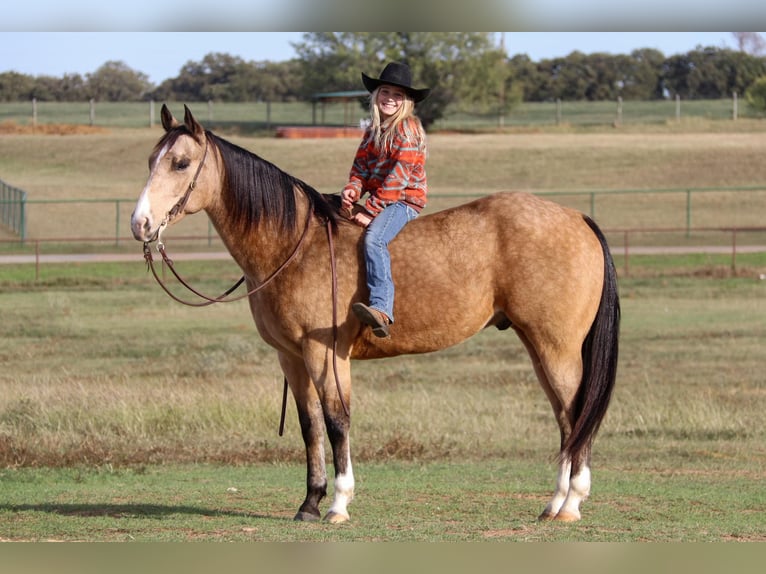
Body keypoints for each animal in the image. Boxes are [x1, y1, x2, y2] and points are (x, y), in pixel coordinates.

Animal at [132, 104, 620, 528]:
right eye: (152, 160)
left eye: (180, 163)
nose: (140, 224)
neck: (294, 245)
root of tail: (577, 217)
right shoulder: (290, 357)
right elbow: (310, 427)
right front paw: (310, 502)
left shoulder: (325, 353)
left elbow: (337, 421)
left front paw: (338, 504)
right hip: (539, 347)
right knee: (566, 420)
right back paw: (555, 503)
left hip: (556, 348)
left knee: (576, 415)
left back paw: (571, 504)